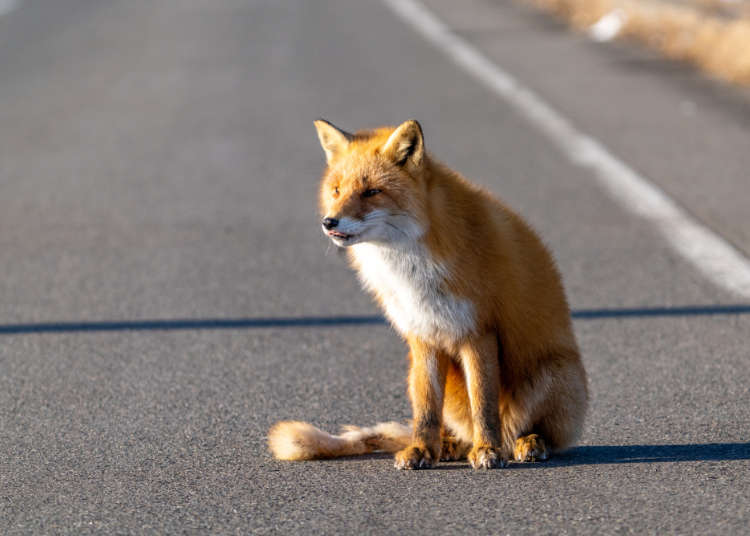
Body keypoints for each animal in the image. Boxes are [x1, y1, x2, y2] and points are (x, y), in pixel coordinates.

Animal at [268, 118, 592, 468]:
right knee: (453, 427)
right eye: (337, 190)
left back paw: (524, 442)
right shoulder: (422, 335)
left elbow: (484, 404)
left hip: (550, 376)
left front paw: (487, 450)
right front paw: (422, 450)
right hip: (427, 379)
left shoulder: (478, 332)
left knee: (526, 430)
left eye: (372, 192)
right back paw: (450, 446)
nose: (330, 222)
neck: (413, 272)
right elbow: (425, 410)